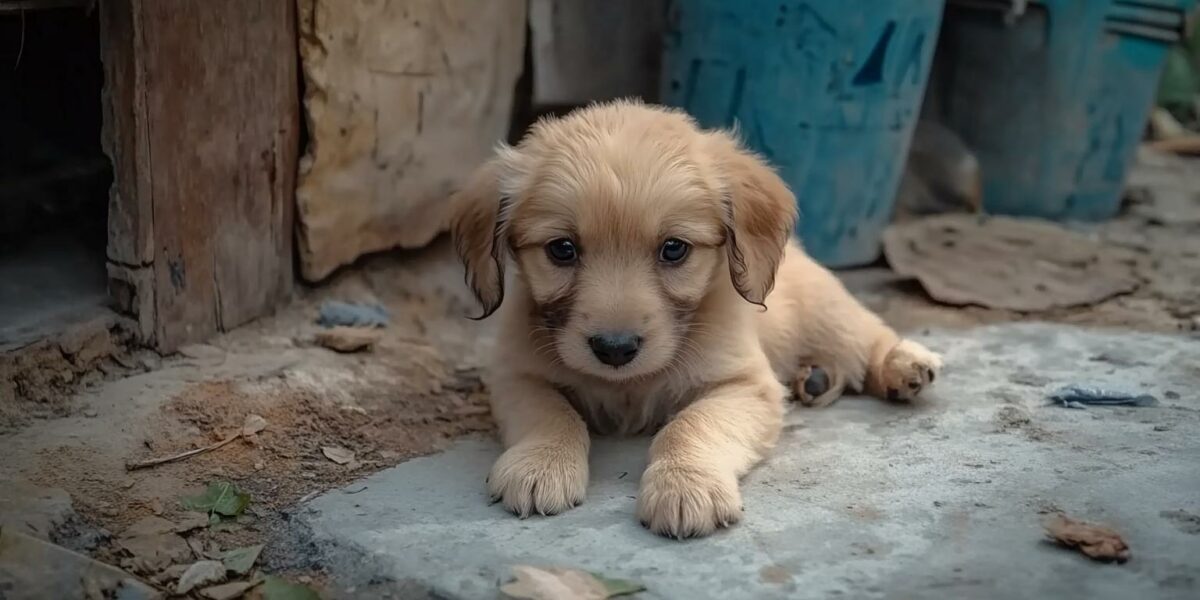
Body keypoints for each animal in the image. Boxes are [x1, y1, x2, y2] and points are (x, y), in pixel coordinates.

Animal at [448, 99, 936, 540]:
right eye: (562, 249)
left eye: (674, 249)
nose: (615, 349)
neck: (628, 388)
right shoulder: (517, 377)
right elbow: (551, 414)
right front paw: (540, 463)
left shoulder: (743, 385)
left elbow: (690, 425)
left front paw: (686, 486)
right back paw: (815, 378)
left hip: (828, 313)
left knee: (869, 336)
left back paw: (904, 365)